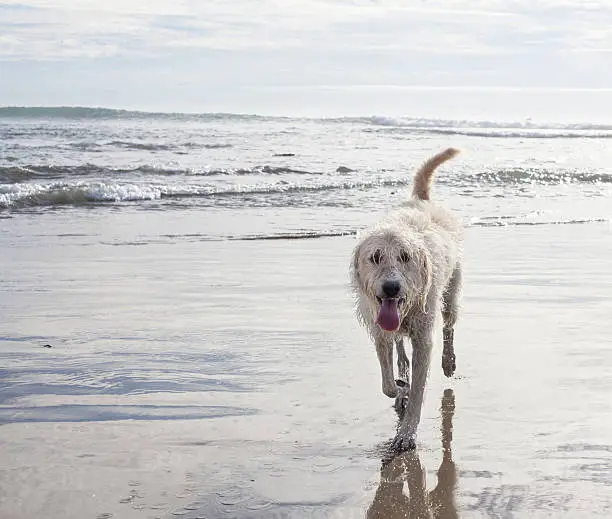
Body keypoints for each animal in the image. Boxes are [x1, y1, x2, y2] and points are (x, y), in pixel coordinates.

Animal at [352, 148, 462, 452]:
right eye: (375, 256)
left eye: (405, 257)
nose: (391, 288)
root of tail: (420, 200)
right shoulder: (379, 331)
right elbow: (387, 383)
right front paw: (401, 386)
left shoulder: (424, 338)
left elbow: (417, 394)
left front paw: (406, 434)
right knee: (400, 345)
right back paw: (403, 368)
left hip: (451, 293)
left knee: (449, 325)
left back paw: (448, 361)